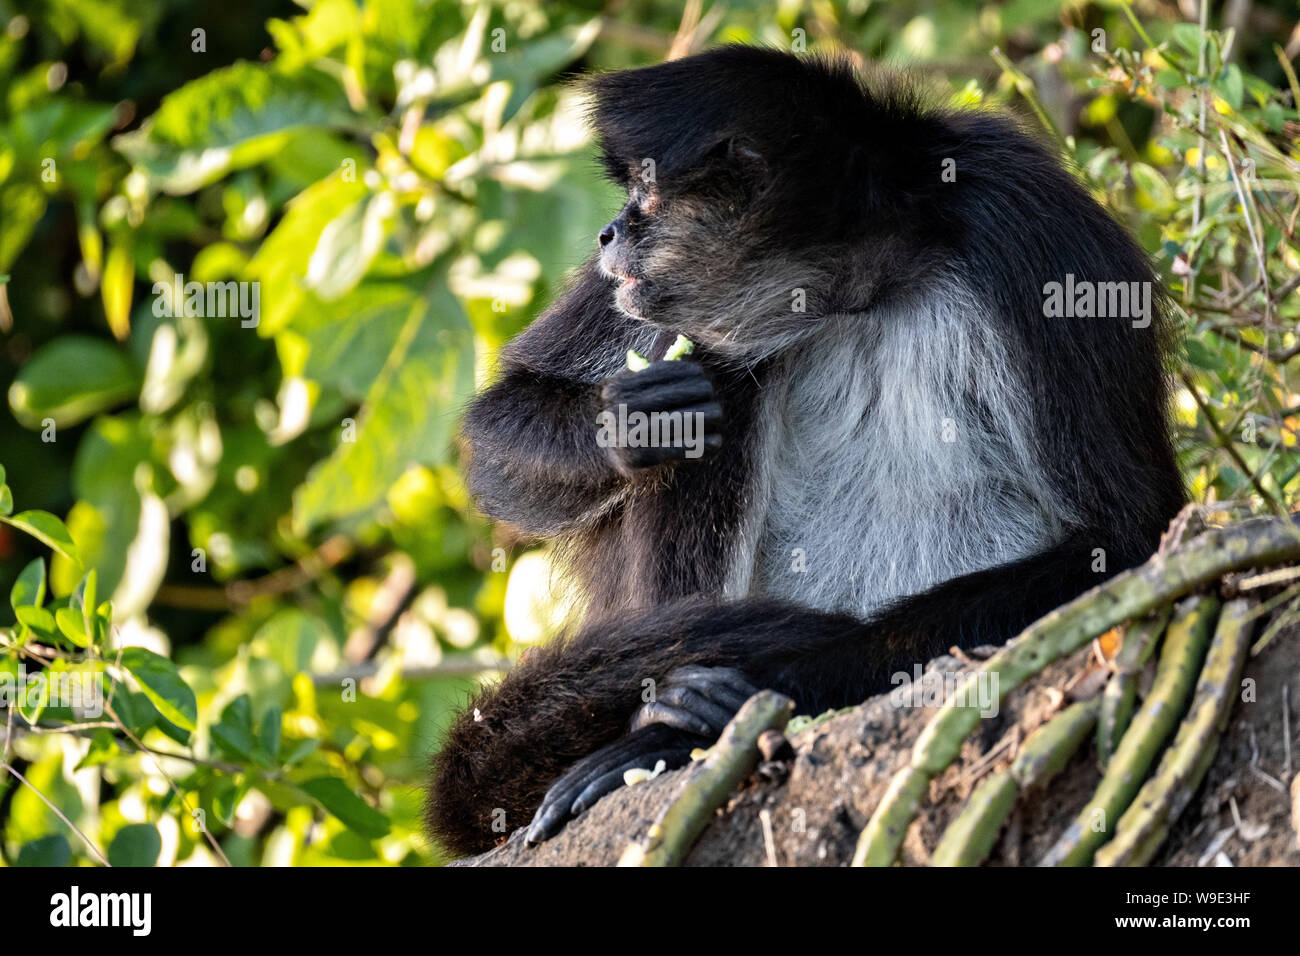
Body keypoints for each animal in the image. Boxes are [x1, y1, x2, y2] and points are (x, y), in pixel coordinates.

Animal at [426, 46, 1184, 858]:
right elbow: (502, 425)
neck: (863, 280)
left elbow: (1124, 540)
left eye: (645, 196)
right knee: (724, 369)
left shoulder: (1023, 217)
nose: (606, 233)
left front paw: (720, 709)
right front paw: (629, 425)